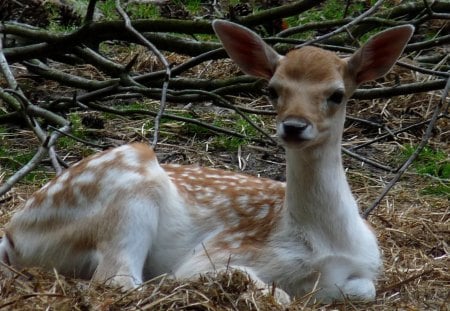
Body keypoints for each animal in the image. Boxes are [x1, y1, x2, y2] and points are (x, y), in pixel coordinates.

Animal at [0, 20, 414, 306]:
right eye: (272, 90)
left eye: (337, 94)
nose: (294, 126)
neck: (322, 239)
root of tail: (12, 234)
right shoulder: (219, 251)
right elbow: (271, 290)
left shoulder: (367, 266)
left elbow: (363, 289)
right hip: (130, 191)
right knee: (117, 279)